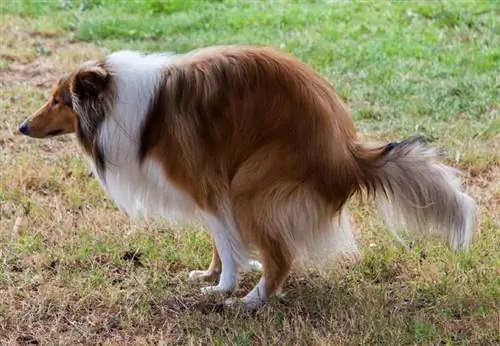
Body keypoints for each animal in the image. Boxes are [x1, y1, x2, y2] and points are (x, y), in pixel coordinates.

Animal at [17, 44, 476, 310]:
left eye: (58, 100)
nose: (21, 127)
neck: (118, 103)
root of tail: (346, 153)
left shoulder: (208, 185)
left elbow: (224, 239)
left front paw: (222, 287)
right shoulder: (213, 188)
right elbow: (222, 241)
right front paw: (212, 273)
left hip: (250, 187)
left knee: (283, 261)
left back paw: (249, 302)